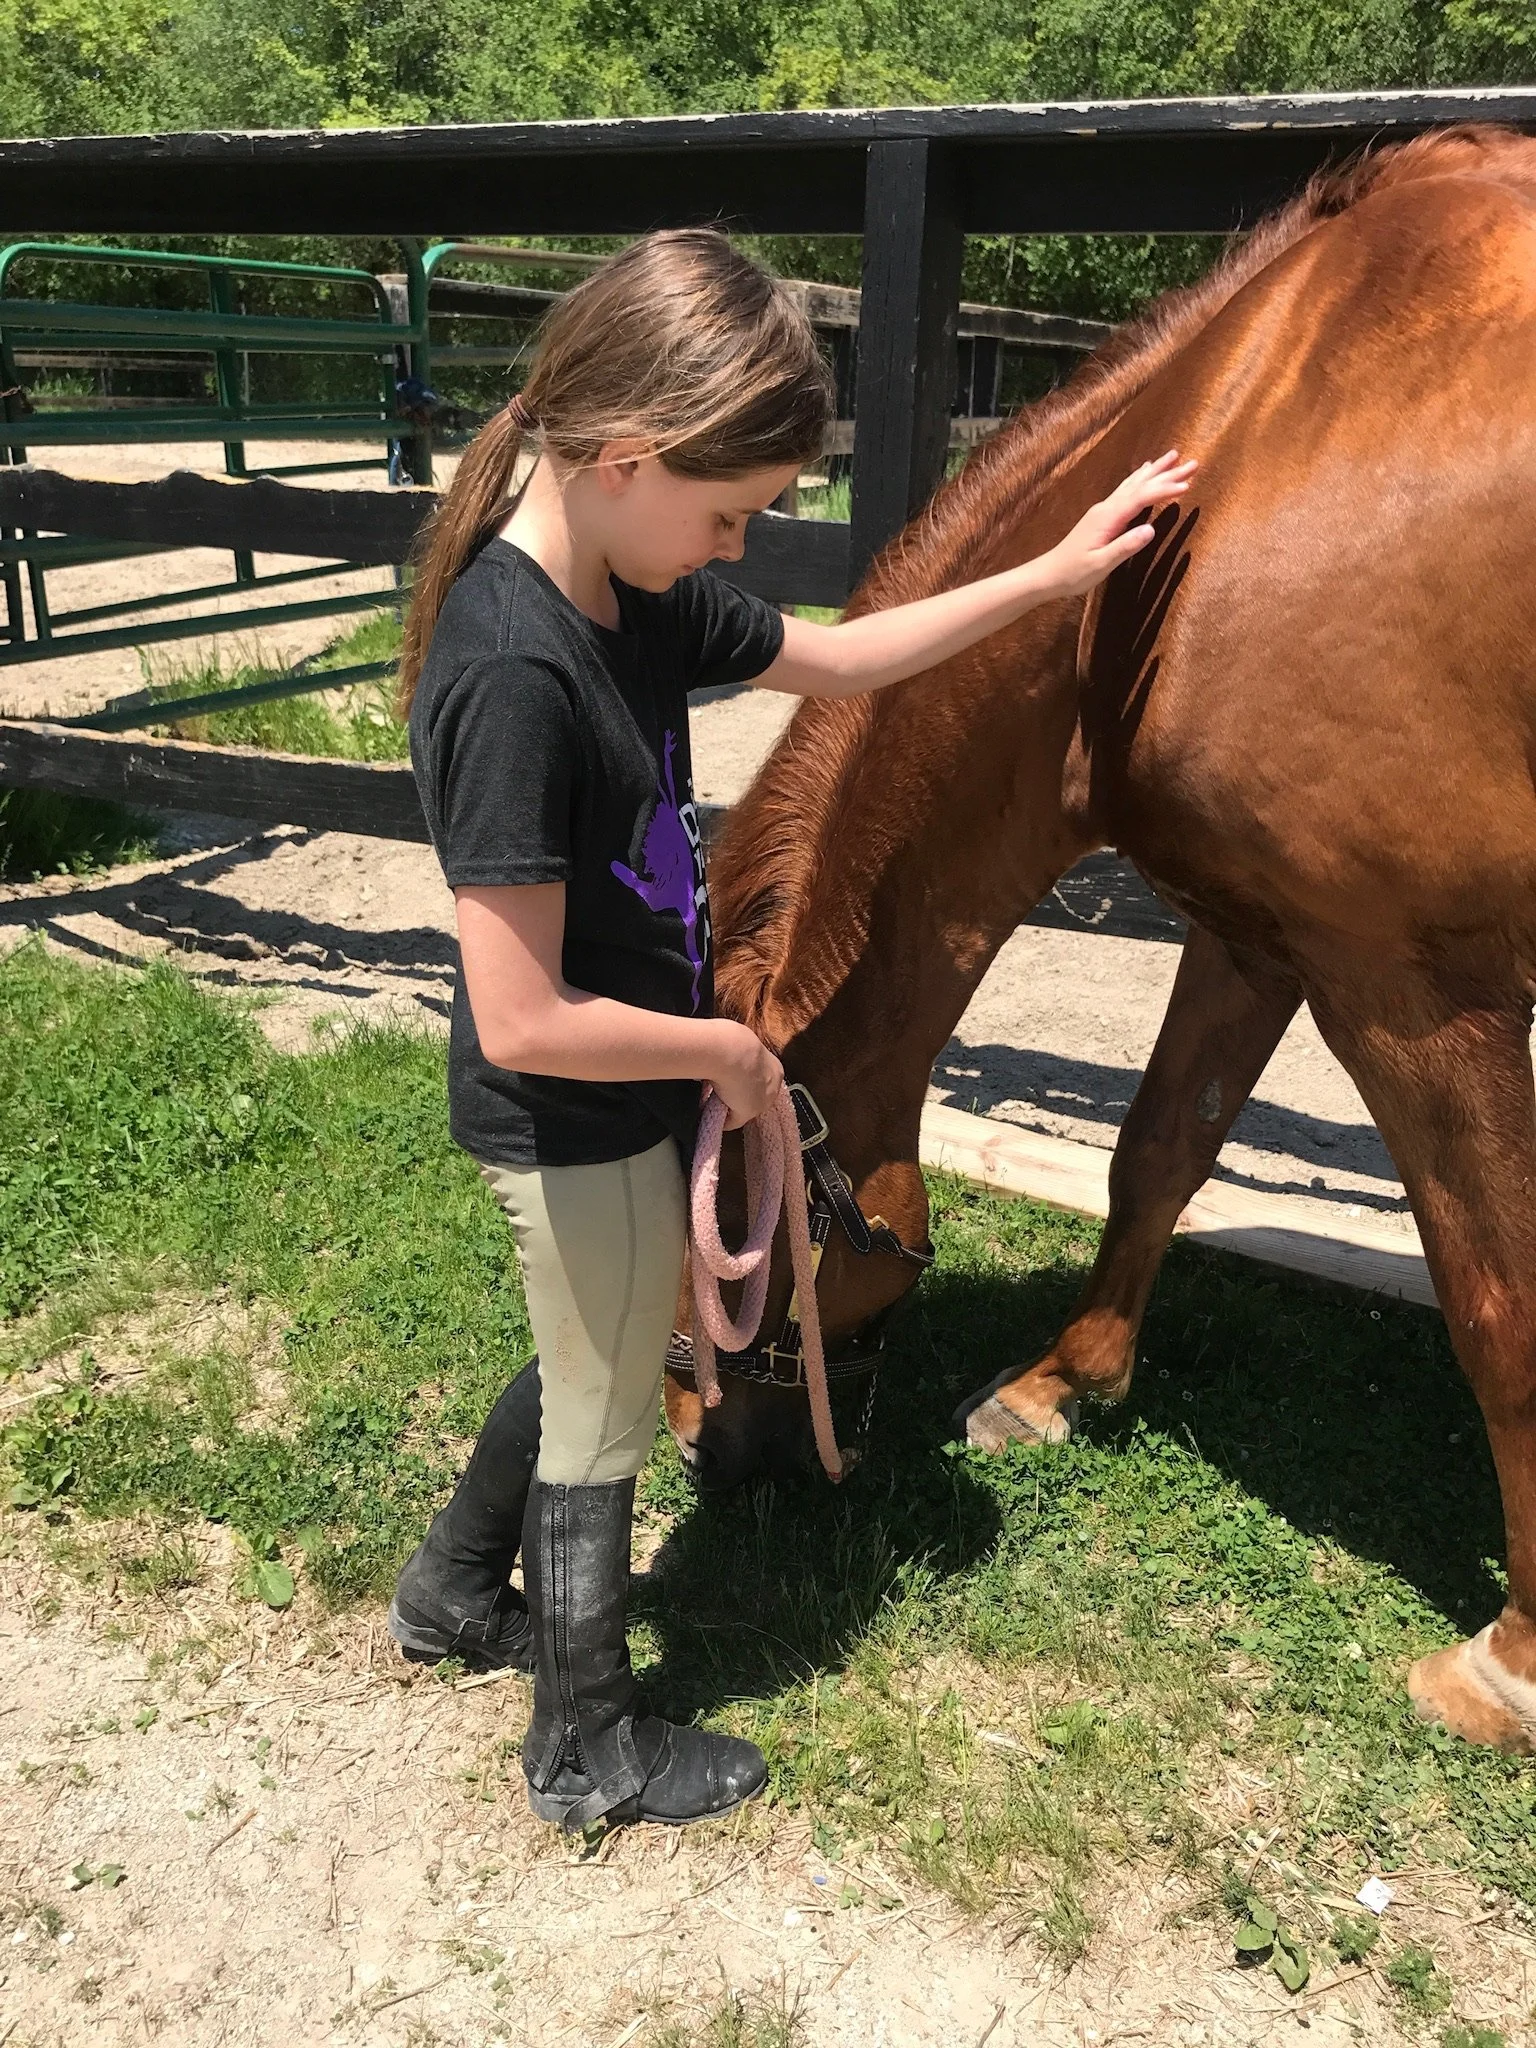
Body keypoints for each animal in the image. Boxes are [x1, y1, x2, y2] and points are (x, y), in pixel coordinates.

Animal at [664, 123, 1536, 1755]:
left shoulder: (1414, 989)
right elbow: (1159, 1150)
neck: (1246, 456)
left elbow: (1499, 1302)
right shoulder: (1260, 938)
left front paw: (1511, 1658)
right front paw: (1063, 1383)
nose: (698, 1432)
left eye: (732, 1237)